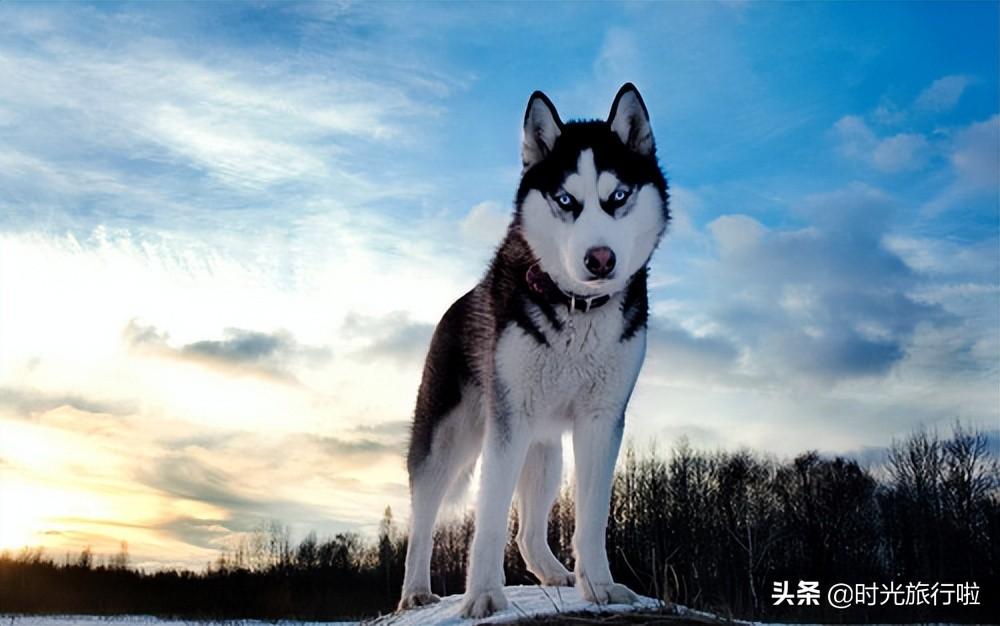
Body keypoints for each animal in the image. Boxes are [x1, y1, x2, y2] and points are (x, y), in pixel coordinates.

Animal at [396, 81, 664, 616]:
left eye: (618, 196)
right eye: (565, 199)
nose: (600, 259)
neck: (577, 308)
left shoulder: (601, 420)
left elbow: (592, 517)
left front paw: (598, 586)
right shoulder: (508, 420)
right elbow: (488, 519)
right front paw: (482, 595)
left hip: (543, 450)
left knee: (527, 530)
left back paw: (553, 573)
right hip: (448, 439)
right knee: (424, 516)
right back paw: (415, 590)